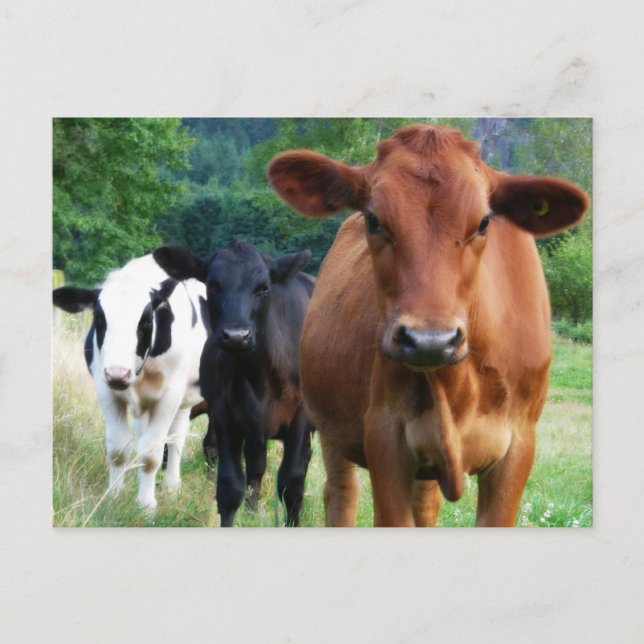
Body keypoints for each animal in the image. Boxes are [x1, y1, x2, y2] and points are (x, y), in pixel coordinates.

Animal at [53, 254, 209, 511]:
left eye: (146, 322)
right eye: (99, 319)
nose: (118, 373)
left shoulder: (169, 396)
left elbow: (151, 453)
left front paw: (146, 505)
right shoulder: (106, 391)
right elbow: (119, 448)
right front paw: (114, 496)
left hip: (183, 398)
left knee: (176, 438)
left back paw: (171, 486)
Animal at [153, 240, 315, 527]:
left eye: (263, 287)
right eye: (213, 285)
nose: (236, 336)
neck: (258, 376)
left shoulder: (301, 417)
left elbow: (292, 482)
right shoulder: (225, 415)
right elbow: (230, 485)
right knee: (255, 465)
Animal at [268, 124, 590, 527]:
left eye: (484, 222)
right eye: (374, 219)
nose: (430, 341)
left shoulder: (518, 446)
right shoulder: (384, 436)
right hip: (330, 430)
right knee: (341, 495)